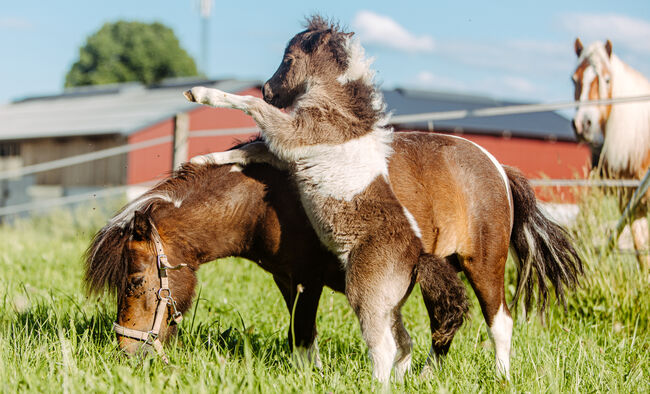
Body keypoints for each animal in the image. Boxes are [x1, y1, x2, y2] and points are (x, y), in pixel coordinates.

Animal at [184, 16, 584, 382]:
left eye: (288, 58)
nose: (268, 89)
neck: (340, 110)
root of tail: (499, 167)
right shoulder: (289, 153)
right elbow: (252, 150)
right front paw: (203, 160)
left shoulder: (295, 134)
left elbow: (253, 113)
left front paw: (202, 94)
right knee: (434, 329)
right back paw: (422, 377)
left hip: (477, 263)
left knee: (494, 322)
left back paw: (495, 376)